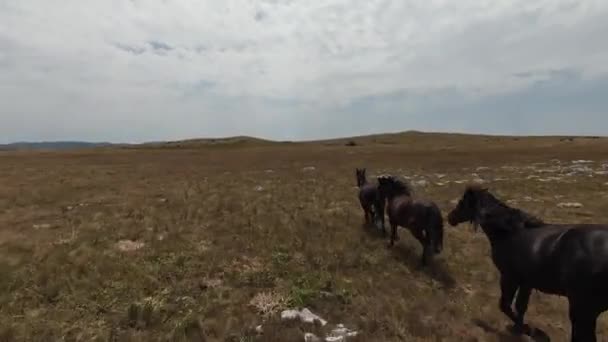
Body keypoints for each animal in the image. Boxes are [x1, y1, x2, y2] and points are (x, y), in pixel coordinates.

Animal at [448, 184, 608, 342]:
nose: (450, 218)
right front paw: (522, 329)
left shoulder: (509, 277)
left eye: (462, 202)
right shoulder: (526, 282)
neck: (510, 233)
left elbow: (505, 306)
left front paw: (530, 330)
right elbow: (521, 306)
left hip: (582, 309)